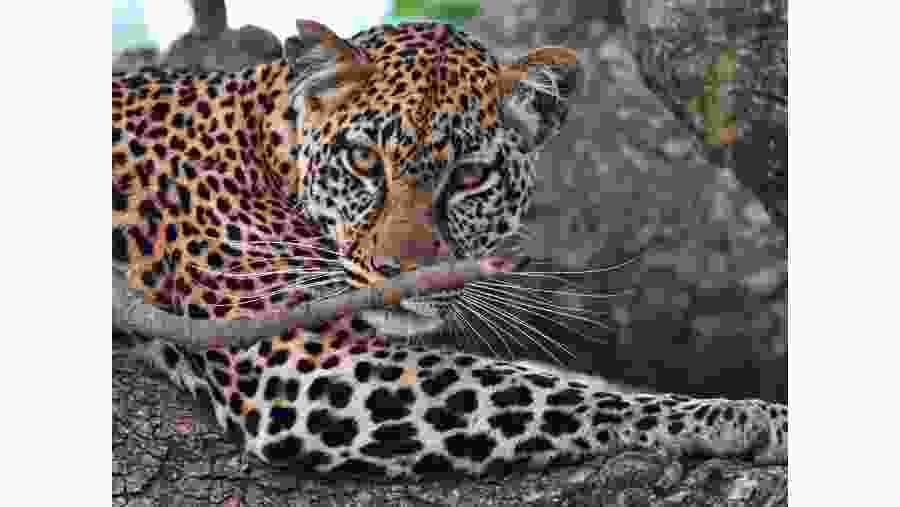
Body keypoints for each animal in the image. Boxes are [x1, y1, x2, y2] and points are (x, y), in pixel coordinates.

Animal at [112, 19, 787, 480]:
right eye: (364, 162)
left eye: (469, 177)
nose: (398, 271)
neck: (266, 146)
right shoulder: (300, 362)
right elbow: (556, 395)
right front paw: (745, 417)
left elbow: (565, 381)